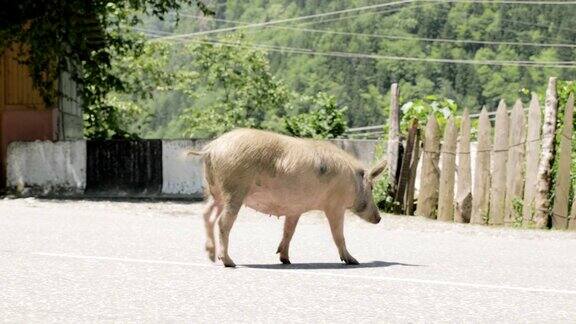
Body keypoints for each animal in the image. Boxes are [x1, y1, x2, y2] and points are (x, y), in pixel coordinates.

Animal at [190, 128, 388, 268]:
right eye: (371, 187)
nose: (379, 218)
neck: (352, 181)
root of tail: (211, 148)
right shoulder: (335, 206)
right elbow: (338, 234)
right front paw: (354, 261)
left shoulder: (295, 209)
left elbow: (289, 231)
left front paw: (285, 259)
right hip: (234, 190)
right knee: (223, 222)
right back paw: (229, 262)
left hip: (217, 191)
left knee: (206, 214)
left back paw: (211, 256)